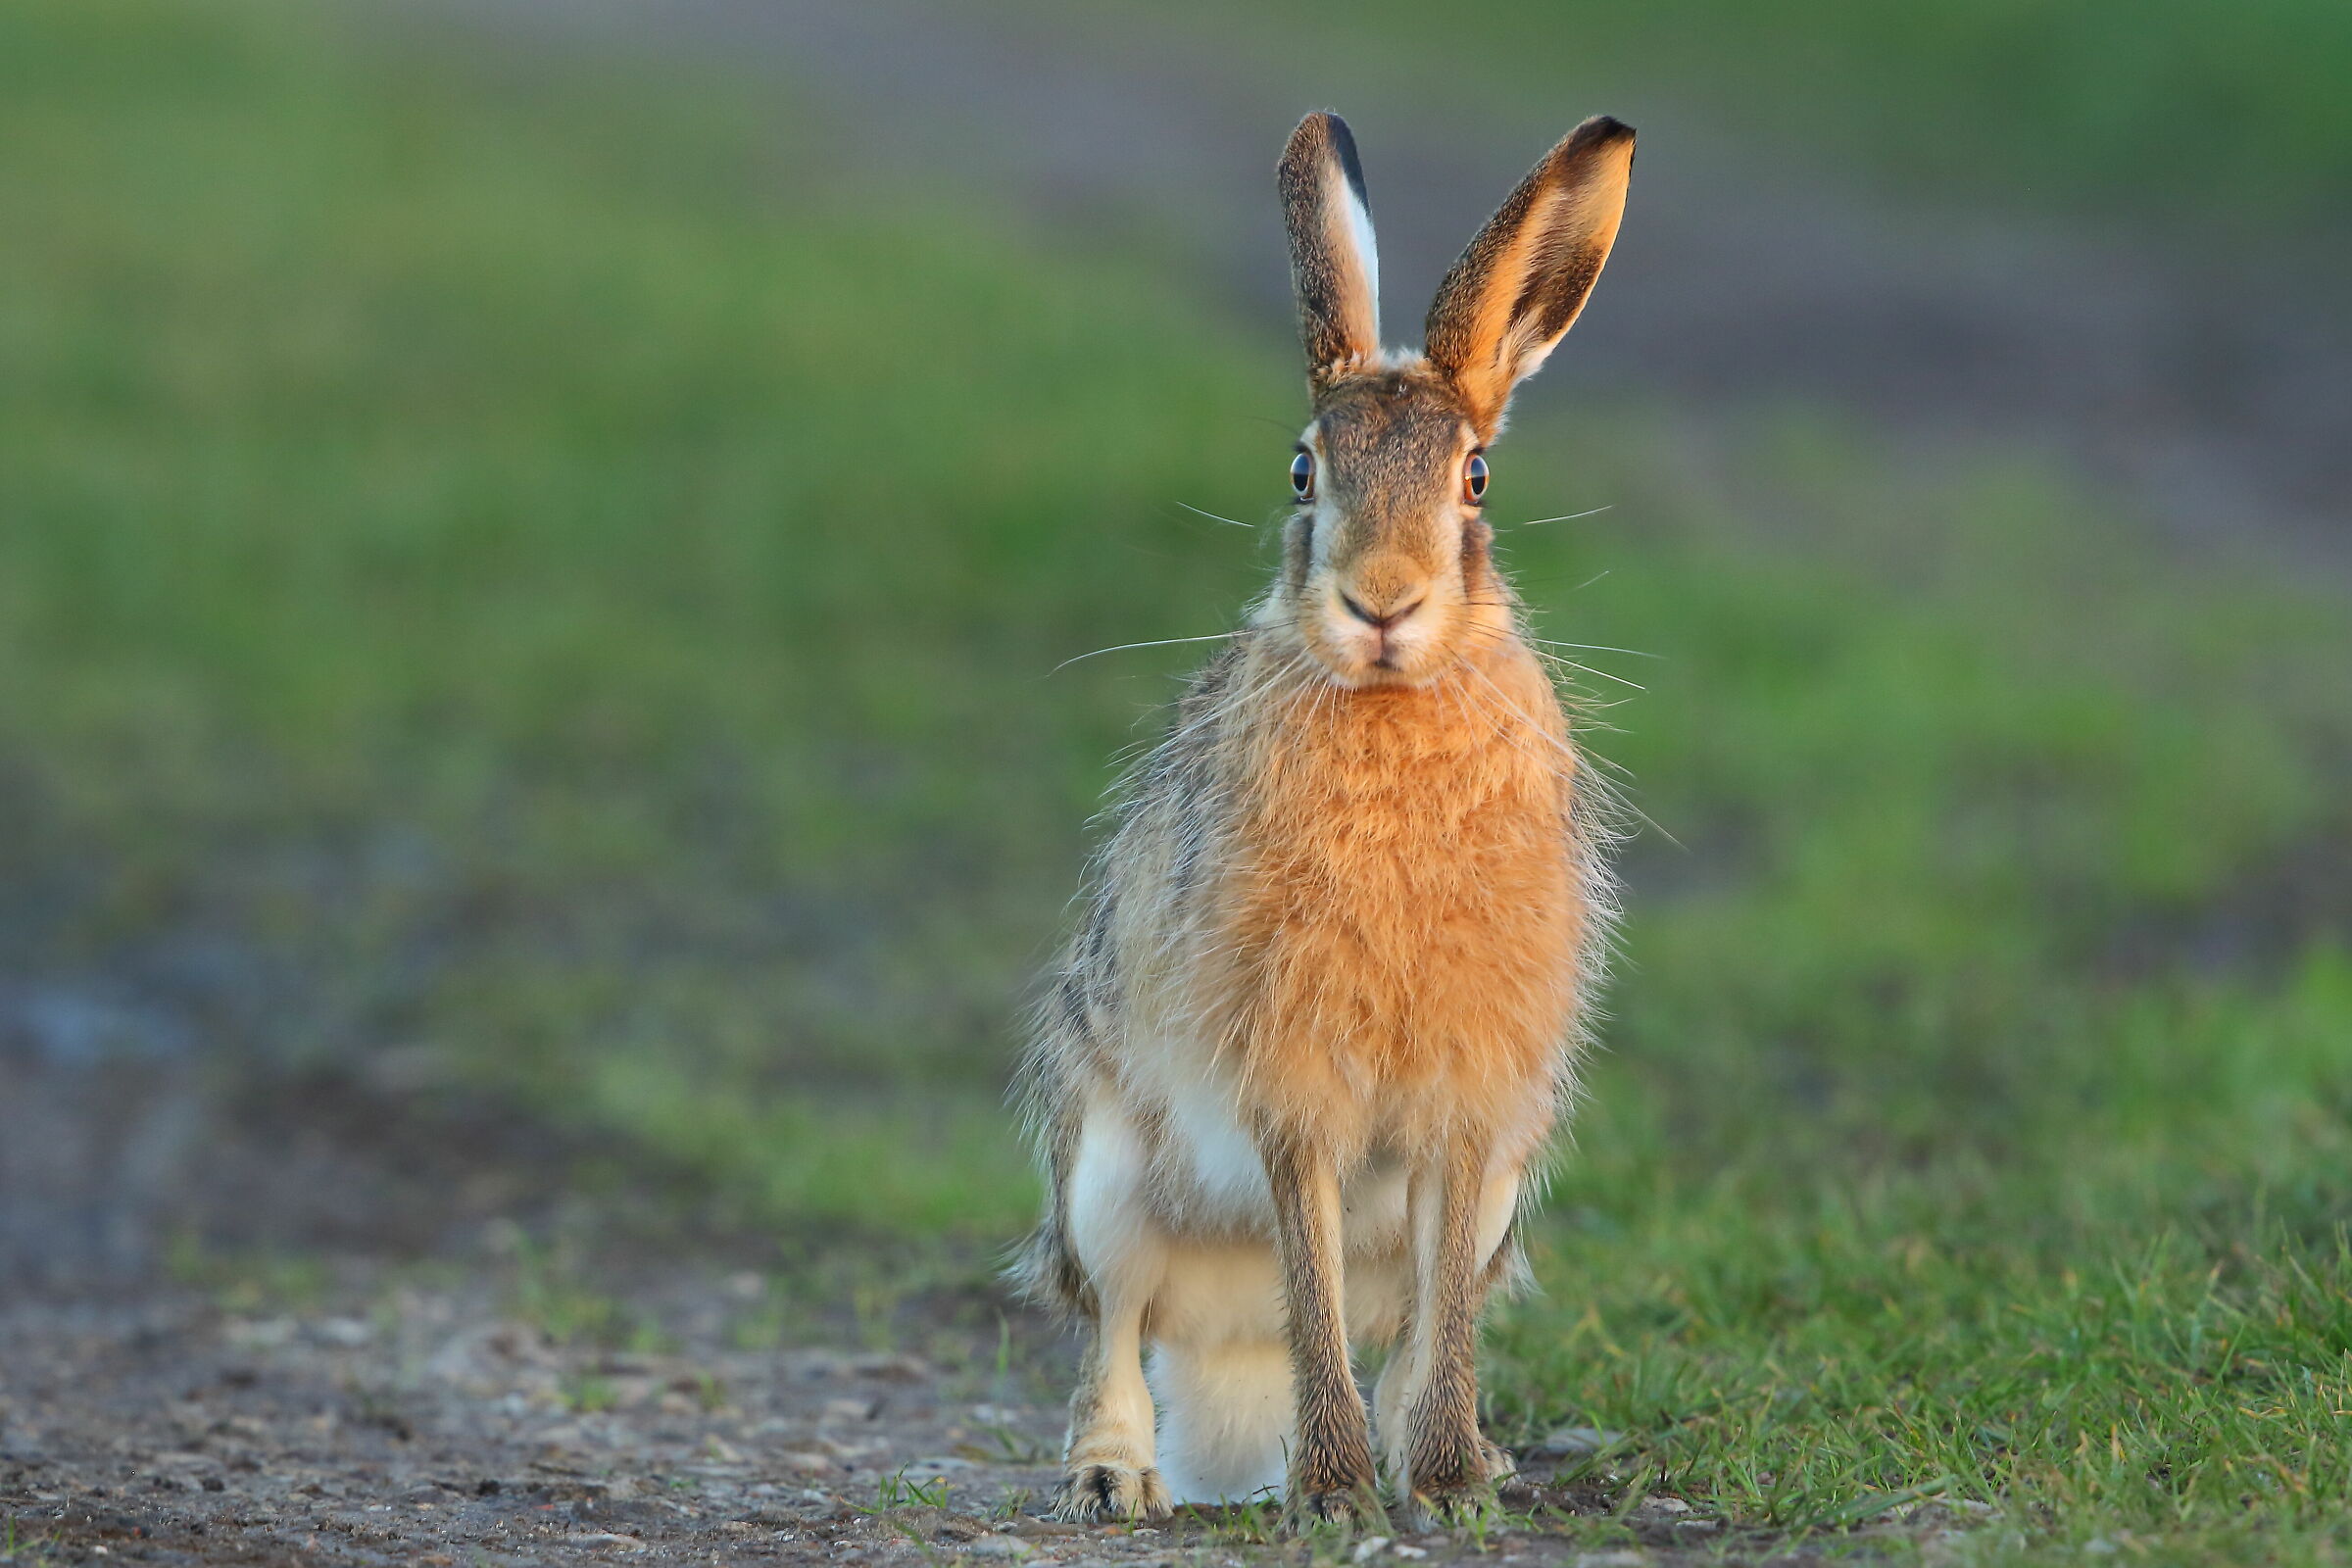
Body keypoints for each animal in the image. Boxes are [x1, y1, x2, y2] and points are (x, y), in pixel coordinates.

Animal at [1014, 109, 1634, 1531]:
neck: (1393, 704)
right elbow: (1311, 1277)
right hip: (1101, 1176)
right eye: (1303, 471)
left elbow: (1441, 1305)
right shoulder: (1290, 1085)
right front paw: (1342, 1497)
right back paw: (1125, 1479)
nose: (1383, 602)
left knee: (1411, 1319)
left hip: (1507, 1186)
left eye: (1477, 480)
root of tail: (1224, 1367)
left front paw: (1448, 1485)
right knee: (1117, 1322)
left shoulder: (1471, 1106)